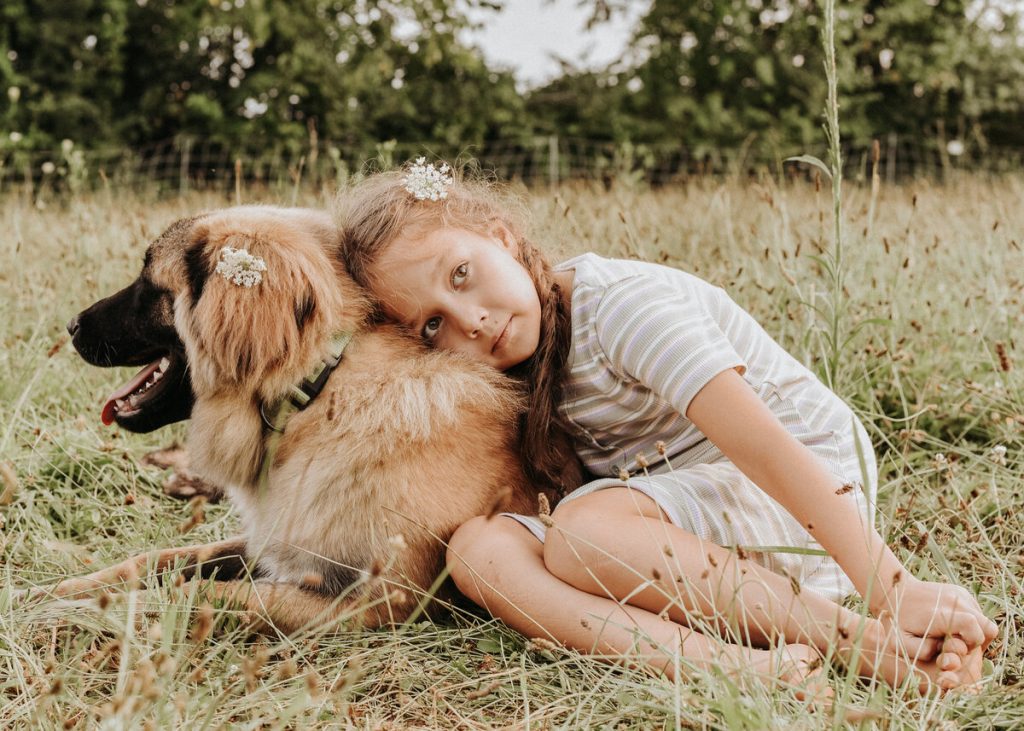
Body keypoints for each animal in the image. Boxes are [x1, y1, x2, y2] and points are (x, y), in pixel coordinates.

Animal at [49, 204, 544, 630]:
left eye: (148, 285)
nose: (71, 325)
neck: (315, 392)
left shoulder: (373, 600)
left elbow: (199, 593)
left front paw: (86, 609)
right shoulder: (277, 541)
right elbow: (163, 558)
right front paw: (64, 590)